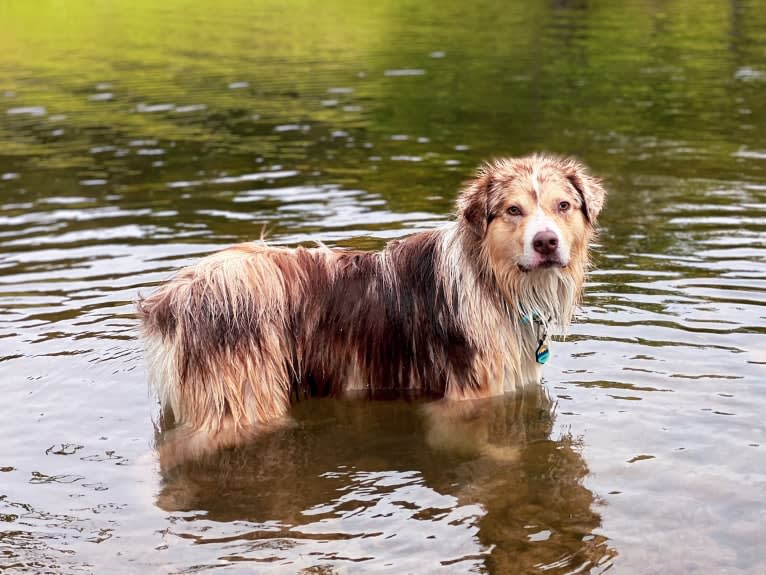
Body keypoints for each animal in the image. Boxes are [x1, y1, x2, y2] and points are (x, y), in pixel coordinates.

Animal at [136, 154, 608, 468]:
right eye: (513, 210)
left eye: (563, 206)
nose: (546, 242)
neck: (494, 281)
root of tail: (175, 295)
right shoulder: (462, 402)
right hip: (242, 400)